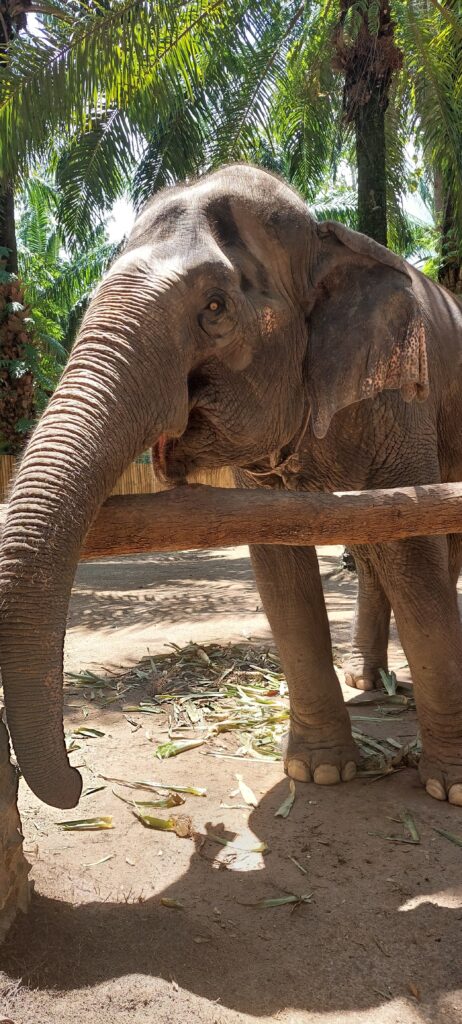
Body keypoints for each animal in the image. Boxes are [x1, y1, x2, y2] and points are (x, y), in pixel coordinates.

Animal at [0, 163, 462, 811]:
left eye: (215, 307)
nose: (77, 781)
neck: (324, 239)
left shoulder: (401, 400)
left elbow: (415, 553)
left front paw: (452, 787)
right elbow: (279, 564)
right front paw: (319, 772)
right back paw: (366, 679)